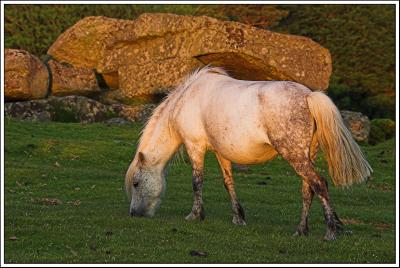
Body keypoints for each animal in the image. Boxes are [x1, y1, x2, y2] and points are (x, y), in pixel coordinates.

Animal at [125, 65, 372, 241]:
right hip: (304, 157)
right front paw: (238, 218)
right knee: (308, 190)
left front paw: (195, 215)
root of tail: (309, 97)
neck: (188, 98)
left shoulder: (195, 147)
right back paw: (301, 230)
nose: (134, 214)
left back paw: (330, 232)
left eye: (136, 183)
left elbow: (197, 182)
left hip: (295, 157)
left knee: (319, 184)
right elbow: (229, 183)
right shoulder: (221, 152)